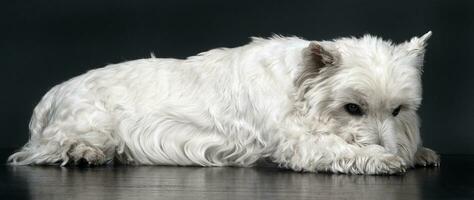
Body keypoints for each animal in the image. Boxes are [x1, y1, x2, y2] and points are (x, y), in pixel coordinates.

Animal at [7, 32, 438, 173]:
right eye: (352, 108)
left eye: (398, 110)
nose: (389, 147)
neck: (299, 84)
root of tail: (50, 96)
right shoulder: (299, 143)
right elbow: (336, 148)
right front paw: (386, 159)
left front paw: (418, 153)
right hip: (92, 123)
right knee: (52, 148)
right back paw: (85, 154)